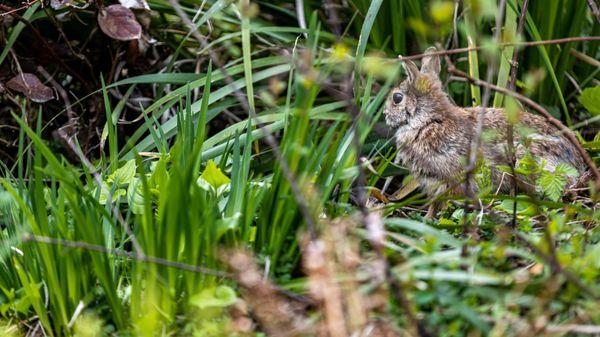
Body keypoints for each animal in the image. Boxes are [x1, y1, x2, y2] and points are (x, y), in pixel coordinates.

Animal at [384, 46, 584, 217]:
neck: (428, 121)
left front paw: (428, 219)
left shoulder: (449, 177)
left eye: (397, 98)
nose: (385, 114)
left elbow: (440, 203)